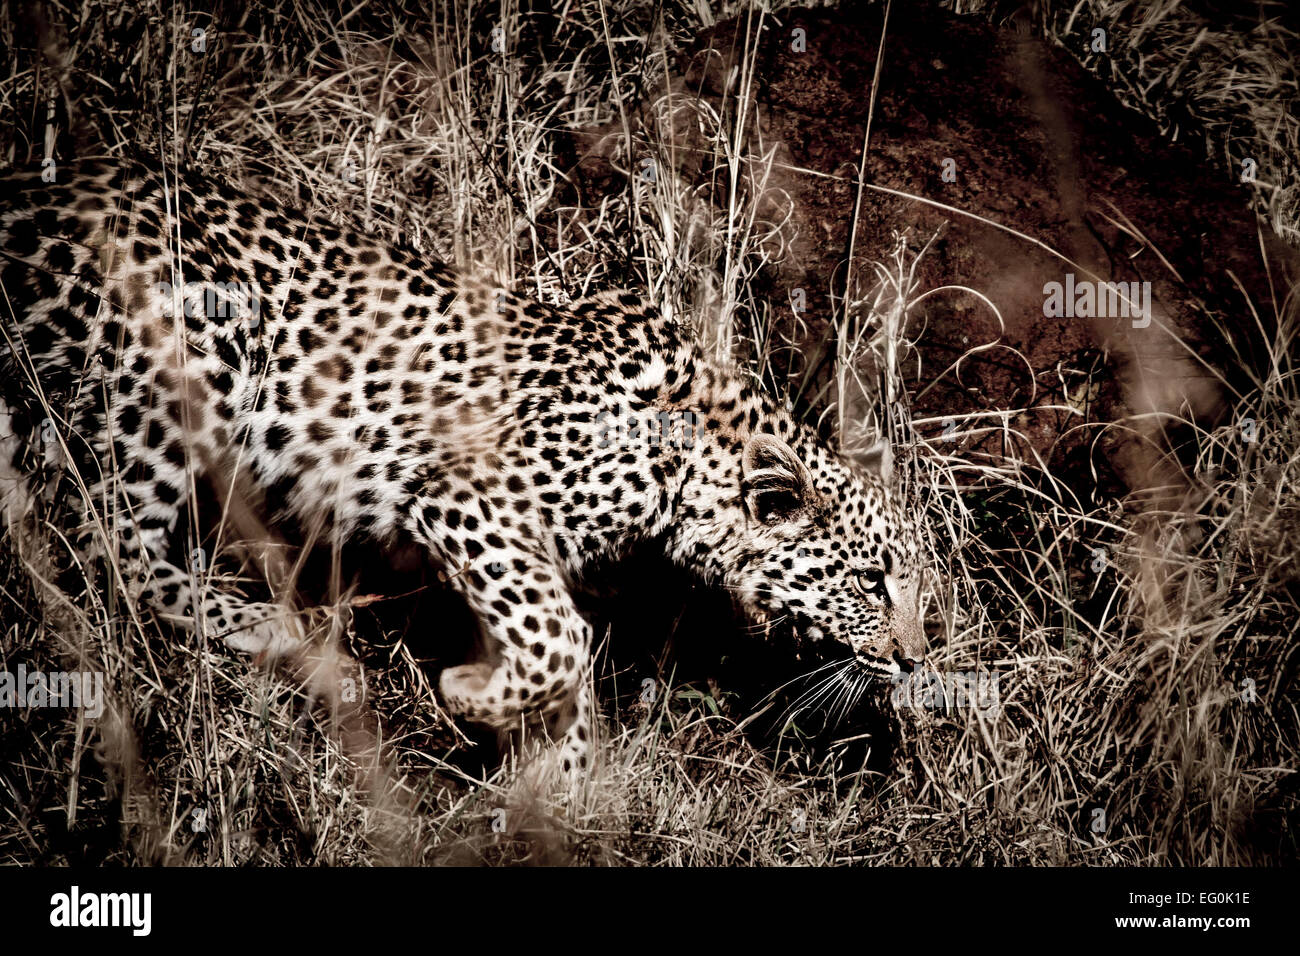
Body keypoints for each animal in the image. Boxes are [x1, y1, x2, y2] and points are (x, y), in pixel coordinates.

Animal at [2, 153, 935, 775]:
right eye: (871, 581)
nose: (918, 661)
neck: (691, 466)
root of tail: (34, 196)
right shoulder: (465, 497)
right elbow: (562, 640)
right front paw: (470, 694)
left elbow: (564, 673)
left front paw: (559, 794)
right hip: (187, 358)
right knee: (104, 542)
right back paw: (289, 640)